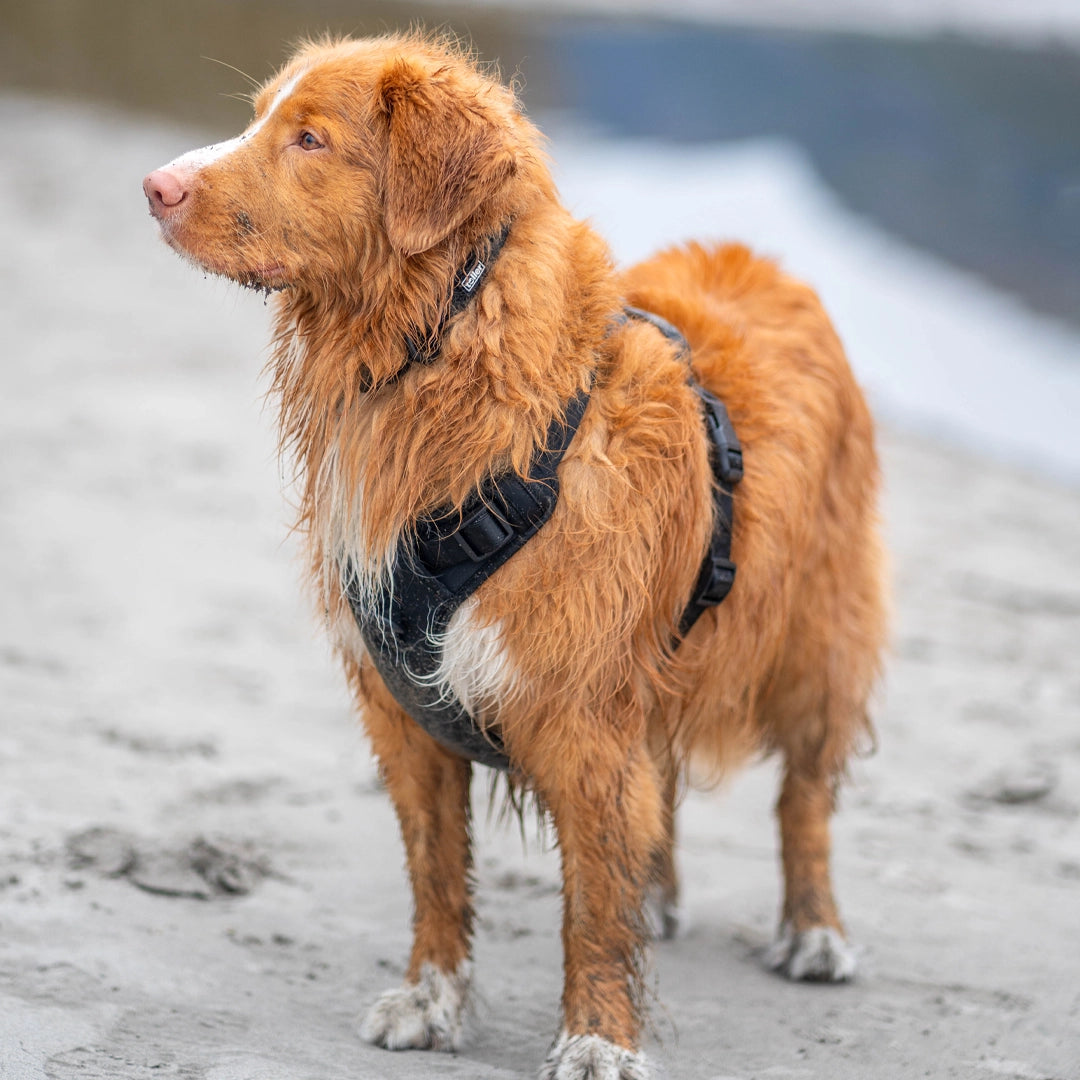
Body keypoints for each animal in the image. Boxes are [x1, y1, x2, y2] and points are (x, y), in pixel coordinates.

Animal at [143, 33, 885, 1080]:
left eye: (311, 138)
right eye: (259, 120)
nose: (154, 186)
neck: (442, 361)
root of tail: (763, 259)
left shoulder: (584, 714)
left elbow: (594, 916)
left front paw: (598, 1038)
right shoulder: (404, 709)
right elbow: (436, 874)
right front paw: (431, 1001)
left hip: (818, 635)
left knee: (805, 796)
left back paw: (814, 929)